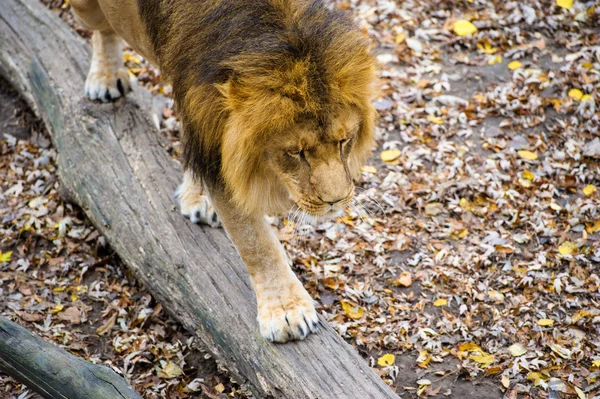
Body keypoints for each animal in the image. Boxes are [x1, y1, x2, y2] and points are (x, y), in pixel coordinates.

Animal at [70, 0, 376, 344]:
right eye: (296, 153)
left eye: (344, 141)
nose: (336, 201)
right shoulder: (218, 149)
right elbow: (256, 244)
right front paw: (286, 311)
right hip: (86, 10)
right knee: (102, 29)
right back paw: (106, 77)